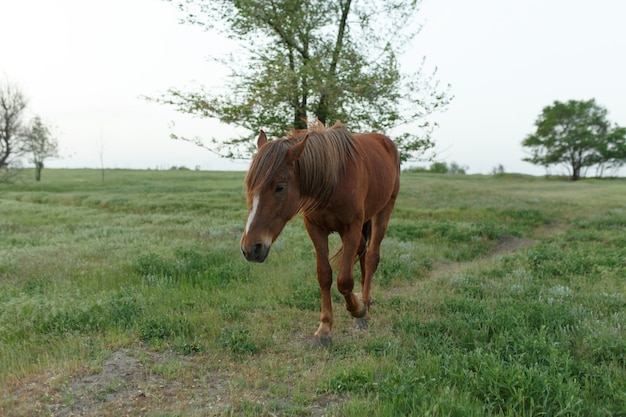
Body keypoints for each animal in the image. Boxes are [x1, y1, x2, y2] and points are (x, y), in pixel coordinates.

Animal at [239, 120, 400, 344]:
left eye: (280, 187)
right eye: (249, 186)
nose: (250, 249)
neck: (332, 179)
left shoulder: (351, 227)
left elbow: (344, 280)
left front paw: (357, 310)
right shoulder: (316, 229)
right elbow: (324, 275)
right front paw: (324, 328)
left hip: (384, 210)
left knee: (371, 257)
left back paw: (365, 307)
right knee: (362, 252)